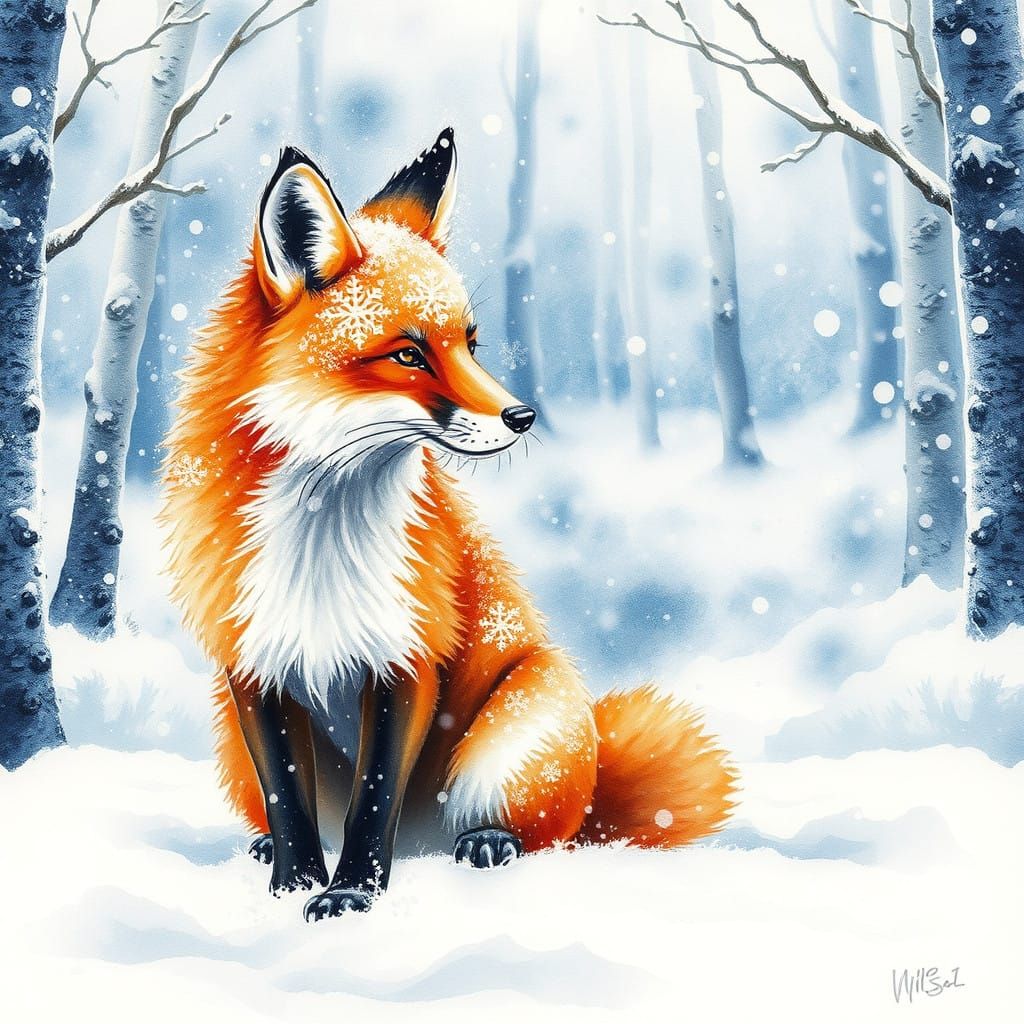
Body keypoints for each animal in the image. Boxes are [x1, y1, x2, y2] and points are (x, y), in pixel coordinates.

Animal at [160, 127, 736, 921]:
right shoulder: (251, 661)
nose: (523, 416)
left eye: (470, 341)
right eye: (408, 353)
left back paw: (488, 841)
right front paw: (296, 883)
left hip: (515, 732)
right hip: (227, 734)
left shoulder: (408, 654)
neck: (321, 533)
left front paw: (352, 894)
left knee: (542, 832)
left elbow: (374, 802)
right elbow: (288, 796)